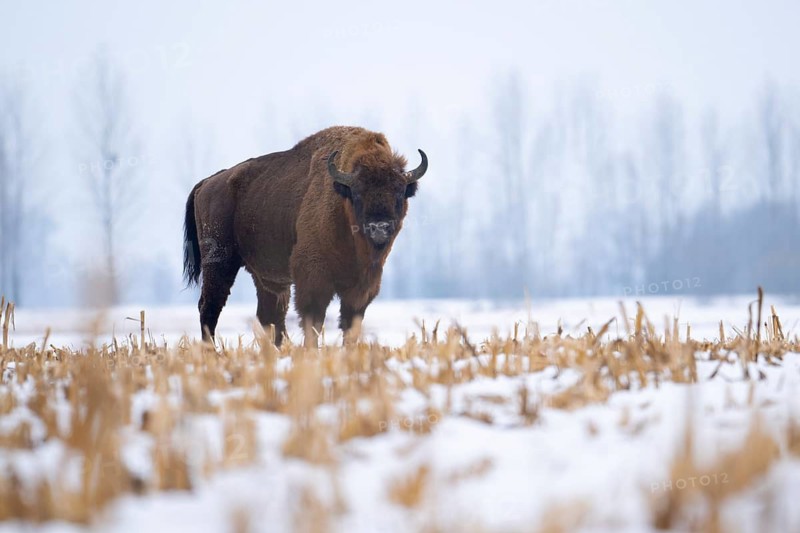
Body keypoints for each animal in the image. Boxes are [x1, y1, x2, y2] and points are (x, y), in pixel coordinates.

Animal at [182, 126, 427, 347]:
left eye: (399, 192)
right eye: (357, 193)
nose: (379, 227)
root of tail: (208, 183)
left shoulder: (362, 286)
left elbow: (350, 325)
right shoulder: (312, 277)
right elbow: (313, 320)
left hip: (264, 278)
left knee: (269, 316)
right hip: (219, 263)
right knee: (210, 306)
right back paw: (211, 351)